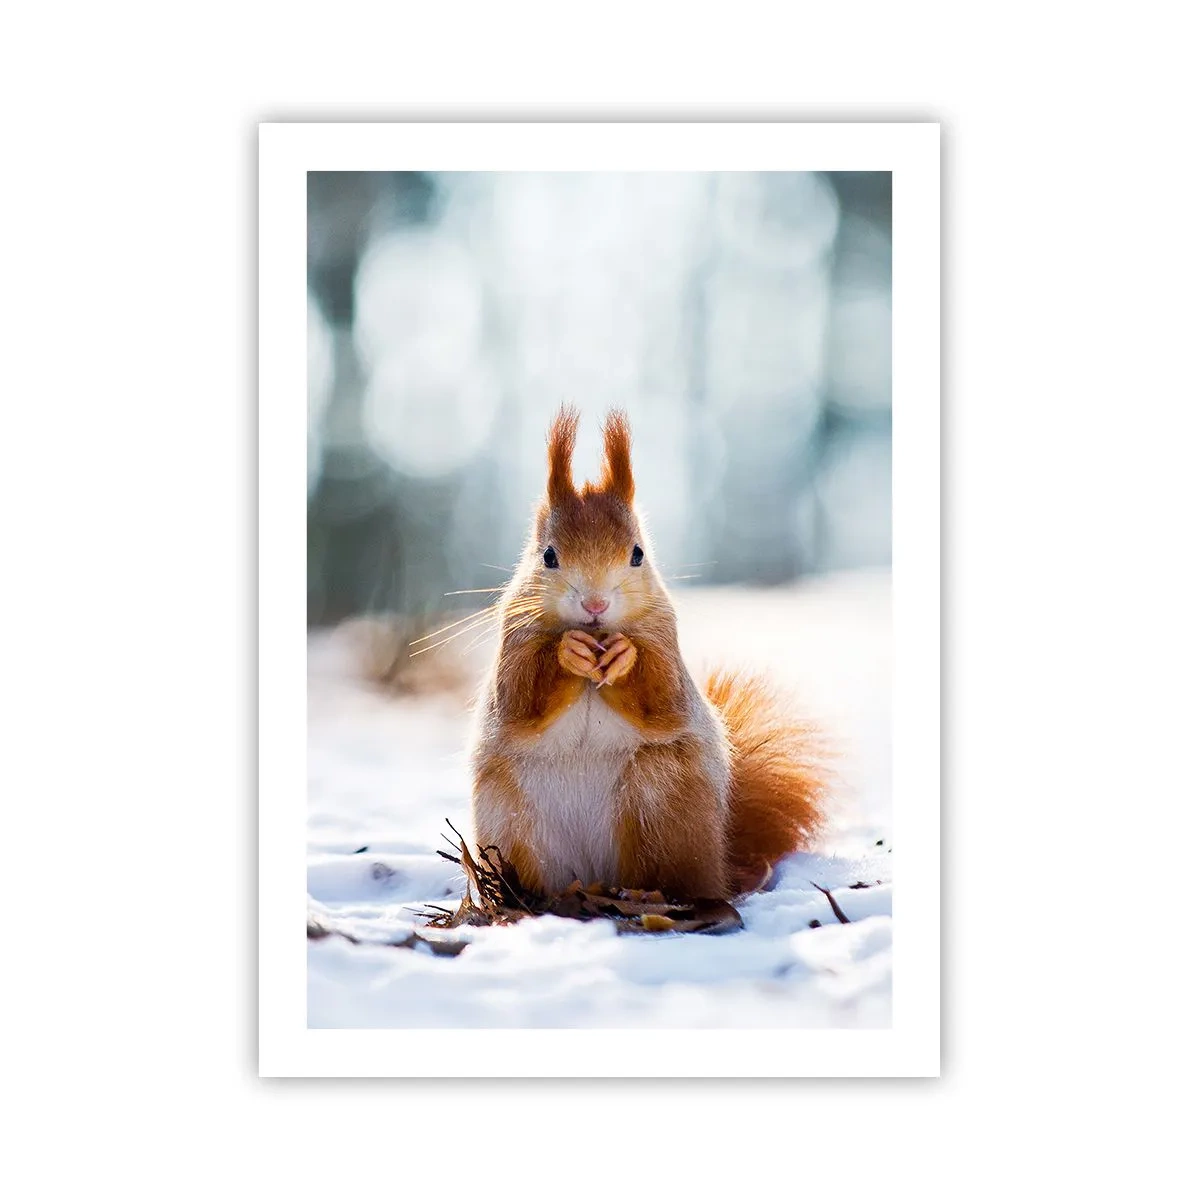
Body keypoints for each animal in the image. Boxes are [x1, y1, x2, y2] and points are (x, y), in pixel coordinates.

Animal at [469, 407, 827, 901]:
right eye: (548, 556)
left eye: (638, 553)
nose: (595, 605)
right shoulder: (514, 642)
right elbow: (521, 699)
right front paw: (567, 651)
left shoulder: (665, 642)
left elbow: (662, 698)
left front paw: (625, 657)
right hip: (510, 818)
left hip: (660, 799)